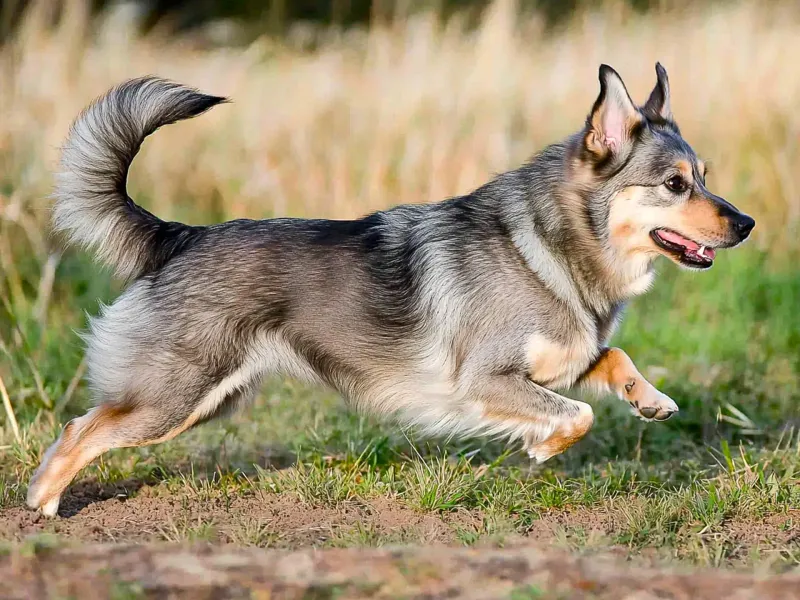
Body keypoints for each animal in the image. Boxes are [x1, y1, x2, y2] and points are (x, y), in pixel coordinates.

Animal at [26, 64, 752, 516]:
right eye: (675, 184)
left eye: (705, 177)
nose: (745, 224)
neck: (550, 248)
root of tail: (177, 236)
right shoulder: (486, 380)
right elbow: (577, 415)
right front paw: (544, 446)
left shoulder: (561, 358)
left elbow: (611, 360)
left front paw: (650, 398)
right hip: (171, 400)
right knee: (79, 428)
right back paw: (42, 505)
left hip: (212, 400)